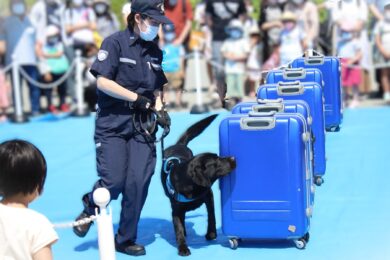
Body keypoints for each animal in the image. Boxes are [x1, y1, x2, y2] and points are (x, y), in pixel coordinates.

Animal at [161, 114, 236, 256]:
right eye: (216, 162)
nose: (233, 158)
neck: (190, 185)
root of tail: (179, 145)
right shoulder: (176, 210)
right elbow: (178, 228)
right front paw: (182, 247)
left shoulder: (209, 195)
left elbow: (211, 215)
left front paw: (211, 233)